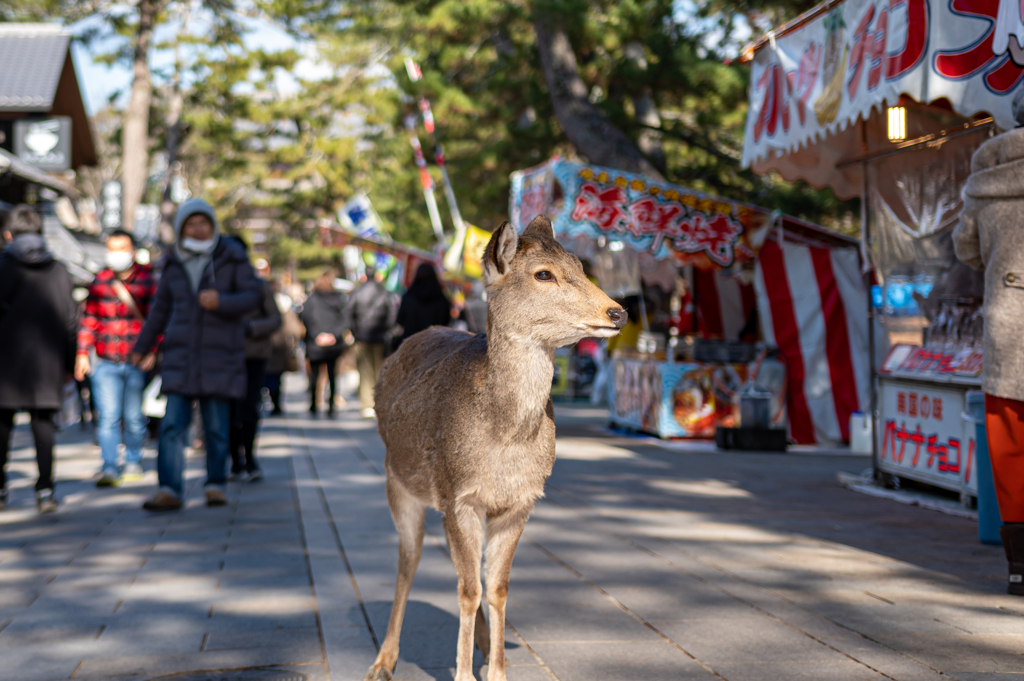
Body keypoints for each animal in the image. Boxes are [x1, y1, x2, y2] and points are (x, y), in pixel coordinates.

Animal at [364, 216, 626, 679]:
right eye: (543, 274)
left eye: (580, 265)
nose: (617, 311)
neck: (506, 444)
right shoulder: (459, 495)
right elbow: (468, 590)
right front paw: (464, 672)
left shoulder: (518, 502)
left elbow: (497, 587)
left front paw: (498, 670)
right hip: (398, 479)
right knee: (408, 561)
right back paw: (383, 661)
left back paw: (484, 645)